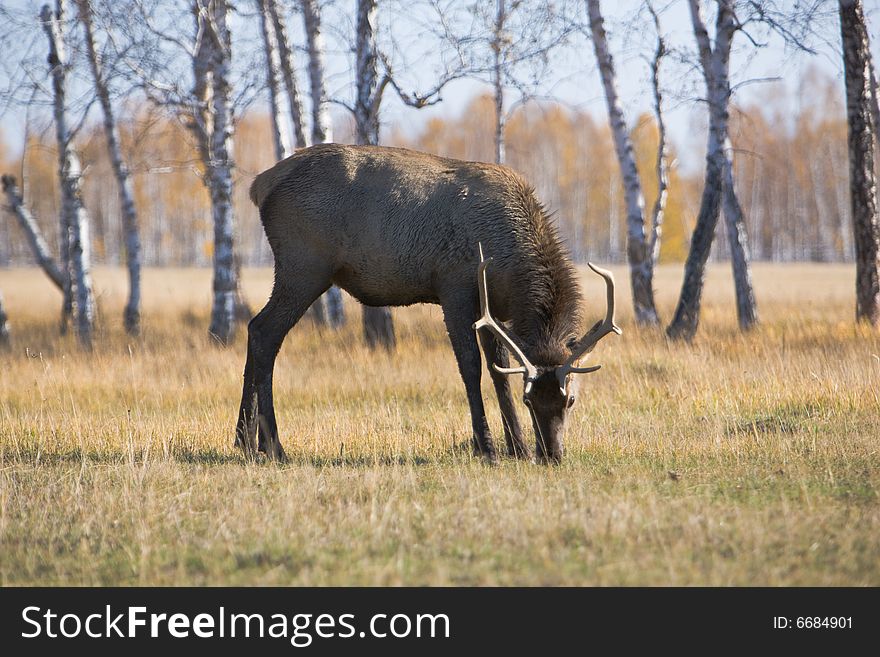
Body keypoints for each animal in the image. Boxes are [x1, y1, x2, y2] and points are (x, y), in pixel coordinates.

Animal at [234, 144, 620, 462]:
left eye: (570, 399)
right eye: (530, 399)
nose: (551, 453)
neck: (507, 266)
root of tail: (259, 186)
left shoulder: (491, 307)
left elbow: (499, 369)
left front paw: (518, 447)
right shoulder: (455, 286)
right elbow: (470, 367)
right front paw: (487, 447)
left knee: (255, 329)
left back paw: (244, 440)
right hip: (304, 265)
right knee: (265, 331)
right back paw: (273, 445)